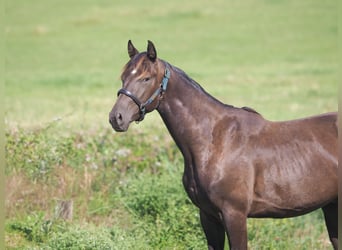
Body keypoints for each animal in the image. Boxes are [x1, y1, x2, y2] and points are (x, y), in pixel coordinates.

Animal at [108, 40, 338, 249]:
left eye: (146, 78)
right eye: (123, 77)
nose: (116, 118)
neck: (214, 142)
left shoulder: (234, 215)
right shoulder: (208, 217)